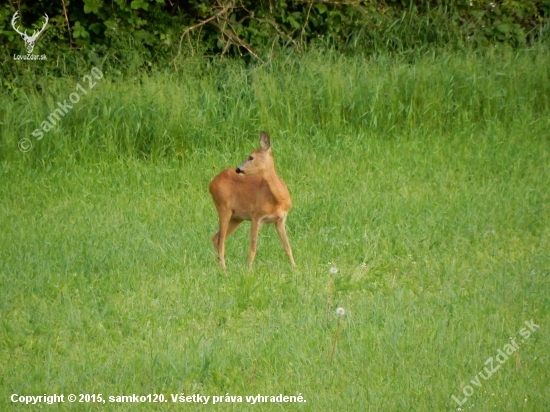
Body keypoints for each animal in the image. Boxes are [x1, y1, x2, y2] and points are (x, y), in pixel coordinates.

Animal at [210, 130, 298, 268]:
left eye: (251, 157)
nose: (238, 169)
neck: (279, 200)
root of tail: (211, 183)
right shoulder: (256, 217)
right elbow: (252, 249)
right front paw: (249, 270)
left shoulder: (281, 219)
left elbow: (287, 247)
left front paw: (295, 268)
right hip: (223, 207)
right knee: (221, 242)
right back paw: (224, 270)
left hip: (237, 217)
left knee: (216, 238)